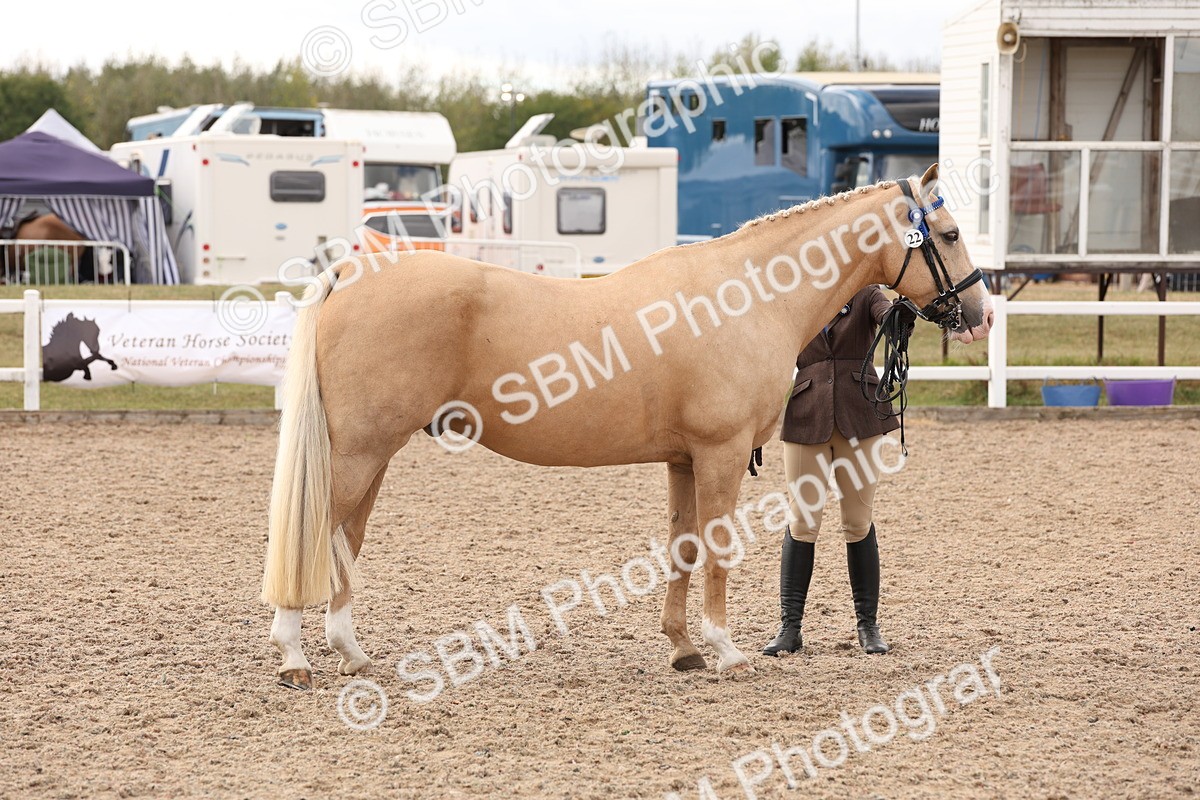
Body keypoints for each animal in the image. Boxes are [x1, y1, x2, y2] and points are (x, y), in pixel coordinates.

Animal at [261, 164, 994, 690]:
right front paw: (726, 651)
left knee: (343, 542)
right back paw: (294, 657)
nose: (982, 313)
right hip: (358, 453)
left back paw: (351, 654)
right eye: (951, 235)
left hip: (372, 454)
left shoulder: (684, 460)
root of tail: (352, 273)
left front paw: (683, 649)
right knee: (315, 535)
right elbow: (719, 550)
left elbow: (683, 548)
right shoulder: (723, 453)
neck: (746, 294)